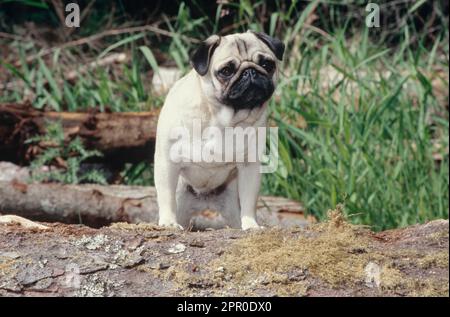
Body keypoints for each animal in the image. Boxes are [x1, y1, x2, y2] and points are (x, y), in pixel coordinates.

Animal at [153, 30, 284, 230]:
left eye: (266, 64)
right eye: (226, 71)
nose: (250, 72)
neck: (223, 118)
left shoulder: (249, 167)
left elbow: (249, 201)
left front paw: (251, 225)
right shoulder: (167, 162)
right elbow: (166, 196)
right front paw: (168, 222)